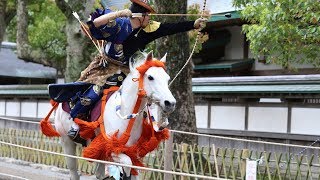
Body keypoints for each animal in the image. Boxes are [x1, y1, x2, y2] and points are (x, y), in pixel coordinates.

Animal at [49, 51, 176, 179]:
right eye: (150, 77)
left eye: (167, 78)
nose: (170, 103)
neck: (125, 115)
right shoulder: (112, 149)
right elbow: (127, 164)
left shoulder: (132, 151)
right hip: (66, 141)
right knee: (73, 170)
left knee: (99, 174)